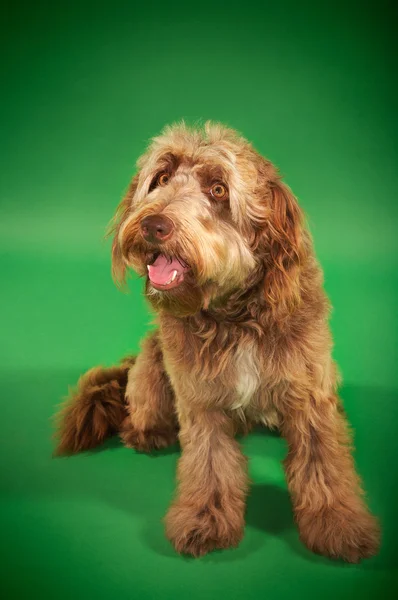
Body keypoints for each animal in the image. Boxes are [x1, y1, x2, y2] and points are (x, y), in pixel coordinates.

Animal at [55, 122, 380, 564]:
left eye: (219, 190)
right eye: (161, 178)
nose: (153, 224)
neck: (234, 317)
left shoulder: (311, 392)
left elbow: (322, 461)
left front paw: (338, 522)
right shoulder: (200, 399)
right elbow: (209, 463)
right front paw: (205, 520)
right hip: (153, 363)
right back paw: (146, 432)